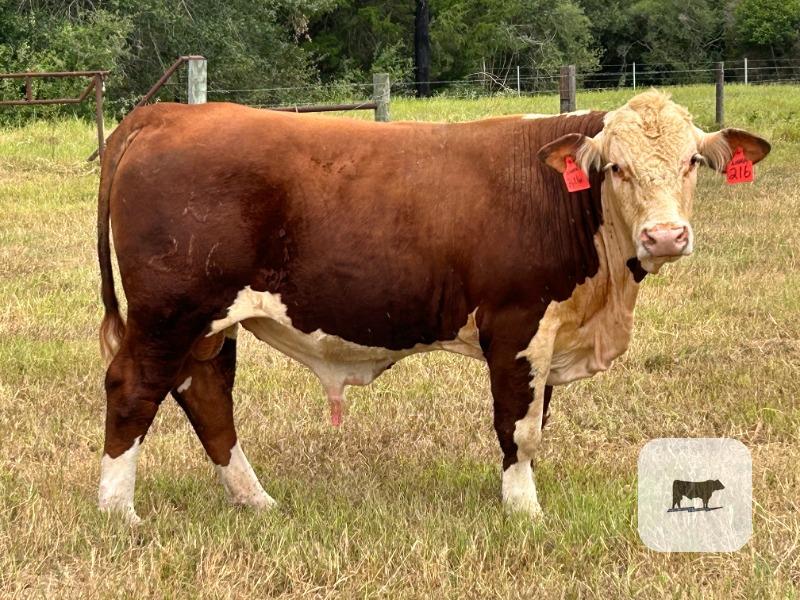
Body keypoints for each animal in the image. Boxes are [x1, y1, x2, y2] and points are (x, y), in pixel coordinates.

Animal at [95, 90, 770, 523]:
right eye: (616, 167)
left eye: (691, 161)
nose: (665, 236)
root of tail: (166, 114)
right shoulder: (517, 324)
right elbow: (520, 426)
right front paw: (525, 511)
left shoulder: (549, 335)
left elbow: (537, 418)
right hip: (169, 312)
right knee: (134, 389)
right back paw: (118, 513)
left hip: (208, 323)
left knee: (206, 395)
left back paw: (254, 500)